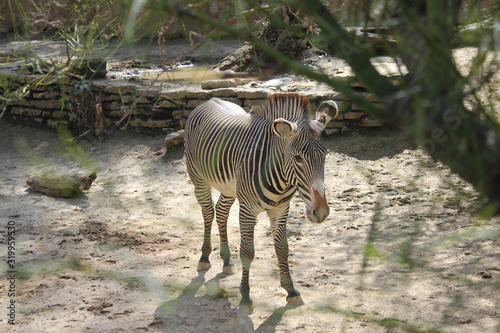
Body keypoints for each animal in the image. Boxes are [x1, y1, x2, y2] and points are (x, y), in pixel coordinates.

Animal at [185, 92, 340, 306]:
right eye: (298, 158)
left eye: (325, 155)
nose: (322, 212)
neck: (281, 178)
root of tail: (209, 101)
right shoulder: (247, 210)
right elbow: (247, 251)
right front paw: (245, 294)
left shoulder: (281, 209)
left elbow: (282, 248)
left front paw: (290, 290)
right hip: (197, 177)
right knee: (208, 212)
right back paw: (204, 258)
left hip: (229, 188)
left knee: (221, 212)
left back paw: (226, 260)